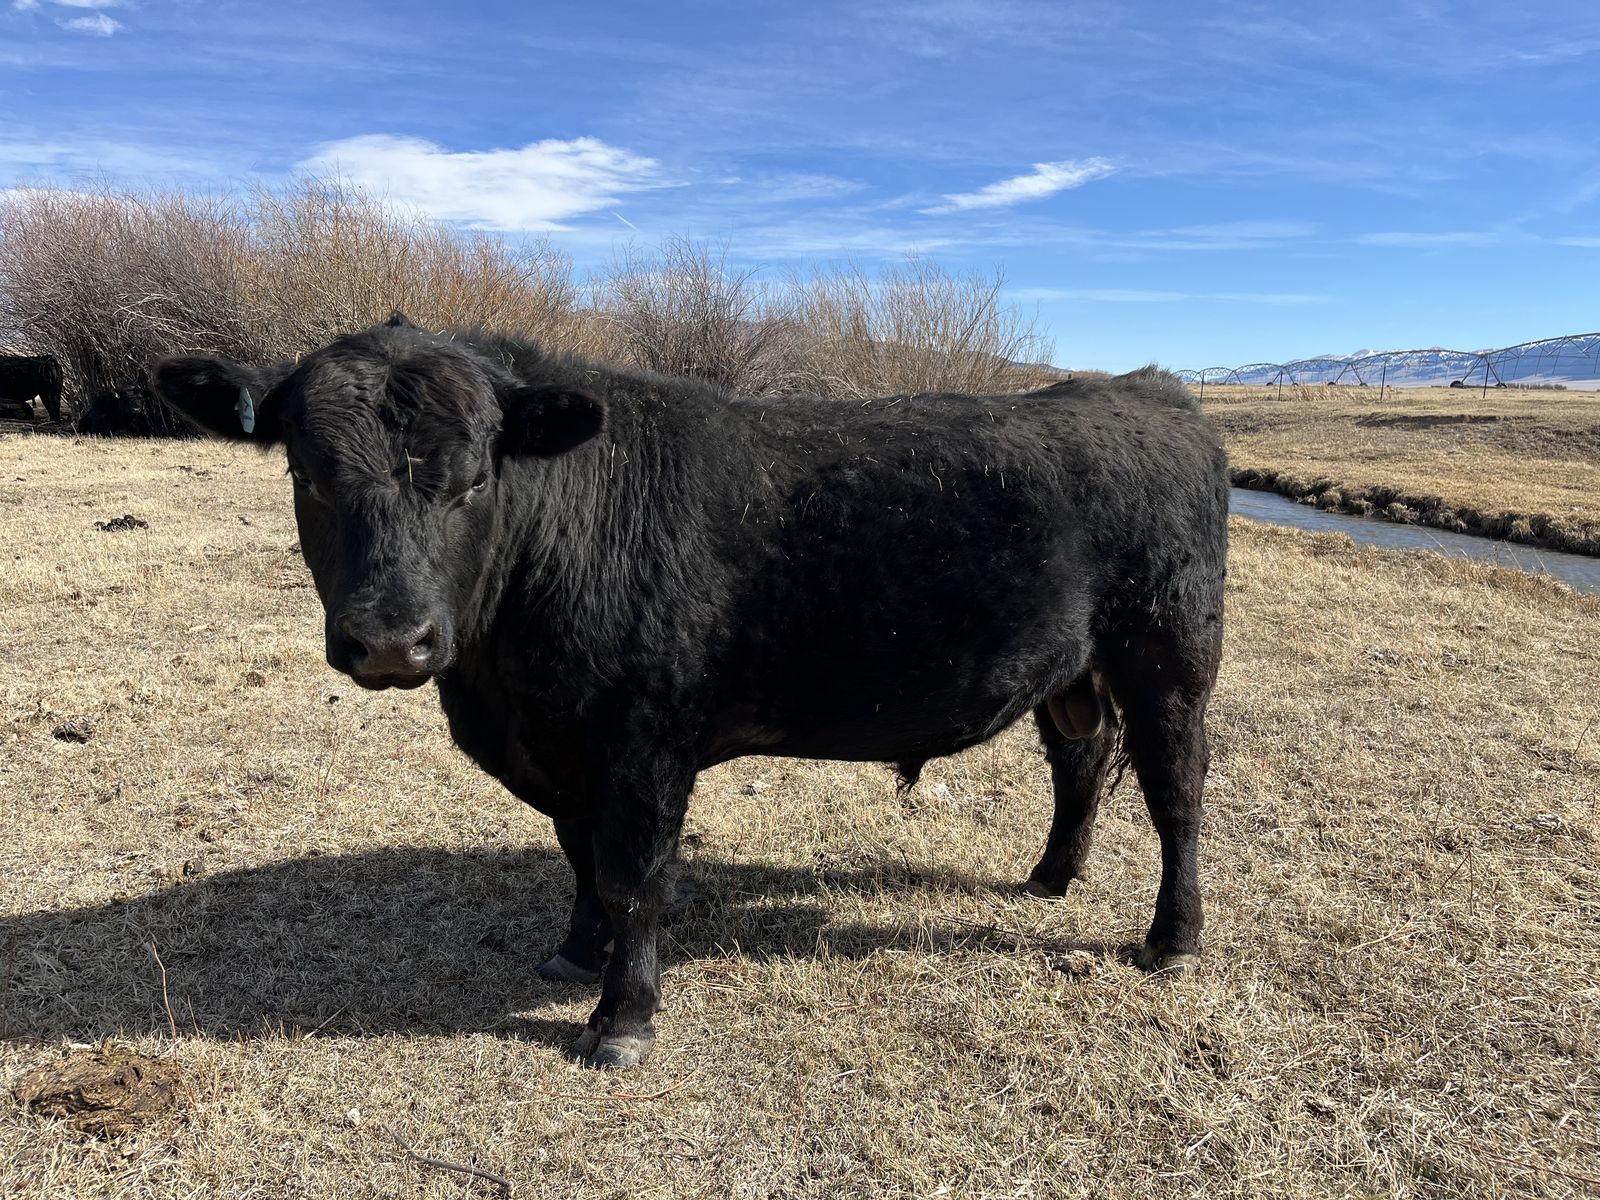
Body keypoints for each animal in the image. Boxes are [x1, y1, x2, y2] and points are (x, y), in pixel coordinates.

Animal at [153, 315, 1230, 1070]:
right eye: (307, 474)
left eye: (472, 480)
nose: (389, 639)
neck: (501, 682)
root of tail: (1151, 391)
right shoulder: (564, 748)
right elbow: (581, 859)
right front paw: (575, 952)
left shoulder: (645, 742)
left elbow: (632, 875)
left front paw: (621, 1018)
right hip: (1074, 670)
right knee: (1080, 758)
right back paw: (1051, 874)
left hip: (1170, 656)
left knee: (1176, 793)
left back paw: (1171, 939)